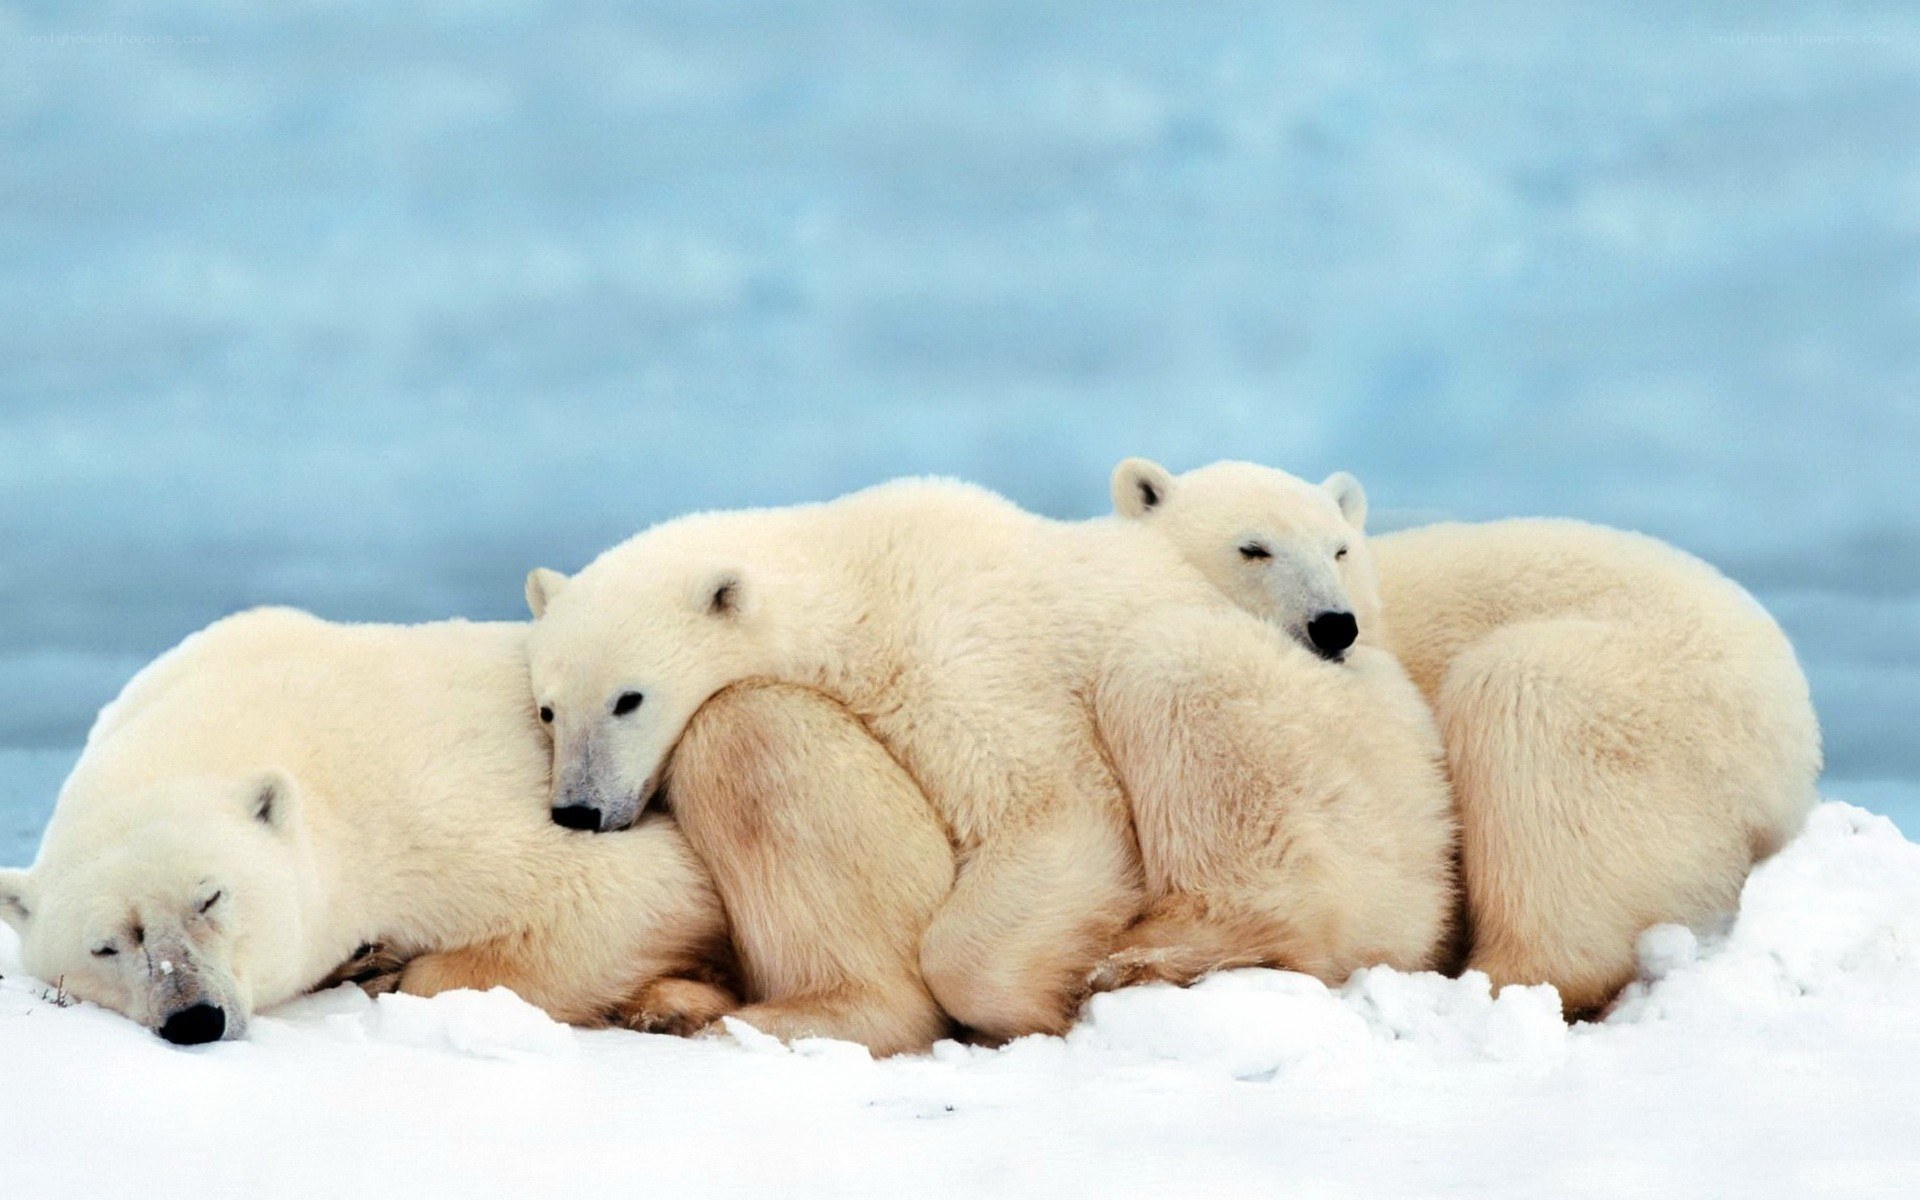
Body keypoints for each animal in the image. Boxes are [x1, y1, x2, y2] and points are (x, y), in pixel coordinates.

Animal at [0, 609, 951, 1052]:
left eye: (211, 897)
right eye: (106, 945)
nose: (193, 1017)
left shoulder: (423, 804)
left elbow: (630, 890)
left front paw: (391, 966)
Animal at [523, 476, 1460, 1039]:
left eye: (628, 698)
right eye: (548, 708)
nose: (578, 810)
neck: (858, 575)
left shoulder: (956, 653)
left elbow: (1052, 810)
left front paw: (1035, 1002)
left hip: (1329, 751)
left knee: (1173, 675)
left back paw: (1155, 955)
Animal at [1110, 457, 1822, 1014]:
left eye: (1339, 548)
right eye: (1252, 548)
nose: (1335, 624)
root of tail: (1794, 750)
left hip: (1652, 703)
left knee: (1523, 713)